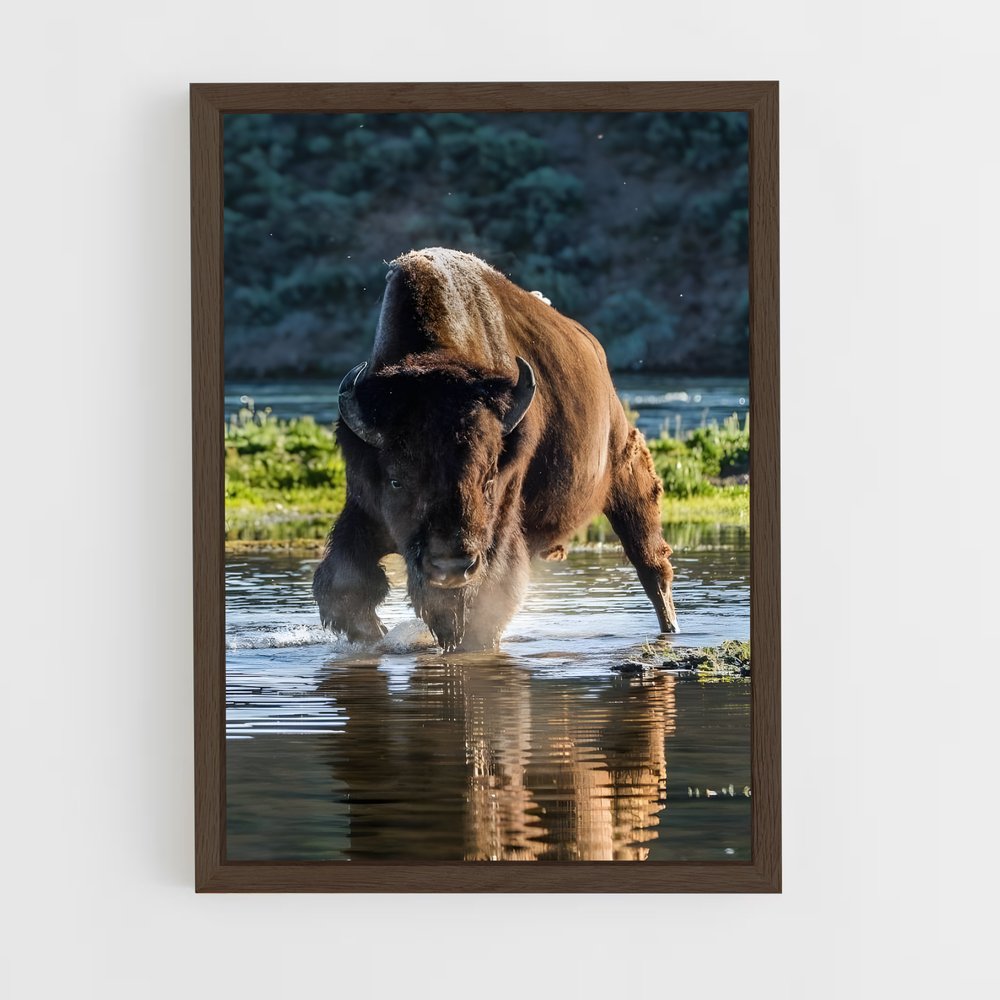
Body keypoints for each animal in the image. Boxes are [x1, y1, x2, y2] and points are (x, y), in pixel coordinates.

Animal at [313, 247, 677, 652]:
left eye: (489, 479)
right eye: (395, 481)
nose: (451, 567)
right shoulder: (363, 506)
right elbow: (346, 586)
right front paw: (376, 634)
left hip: (628, 481)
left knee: (650, 564)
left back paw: (670, 628)